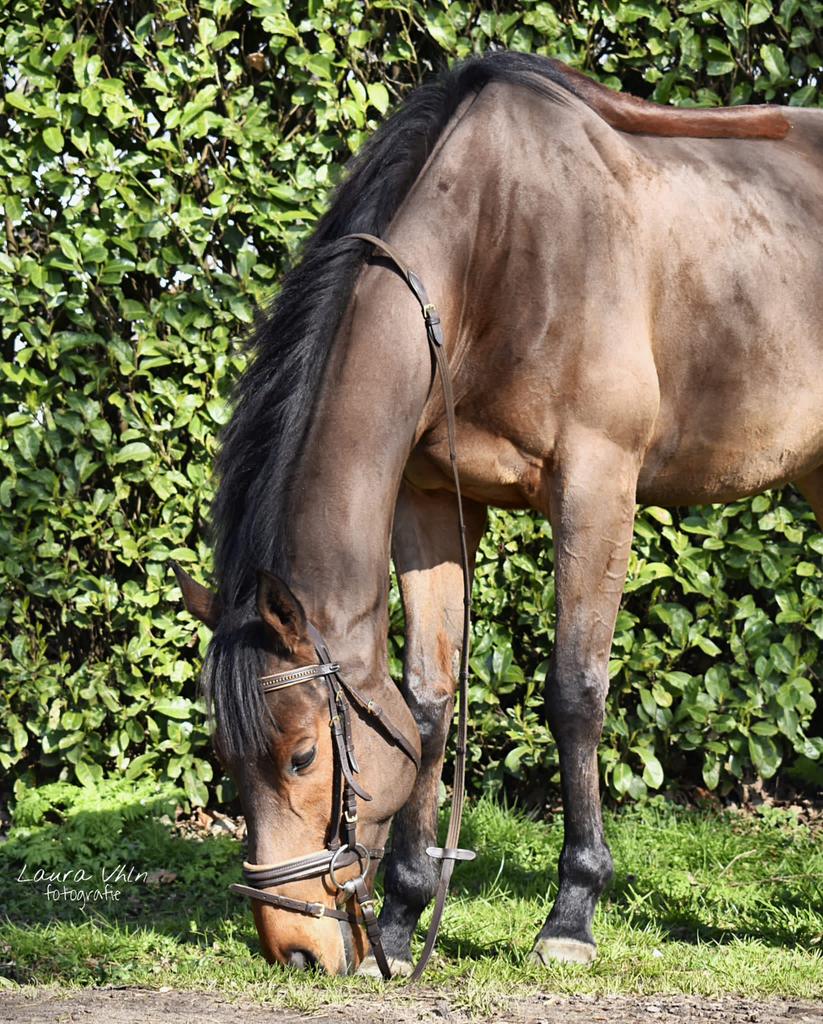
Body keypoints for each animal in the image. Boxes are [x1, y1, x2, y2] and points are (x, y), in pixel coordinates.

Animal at [174, 51, 823, 976]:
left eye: (301, 754)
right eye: (228, 757)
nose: (293, 948)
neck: (489, 251)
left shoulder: (596, 486)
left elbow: (574, 692)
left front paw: (571, 913)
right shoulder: (426, 505)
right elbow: (426, 702)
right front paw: (404, 916)